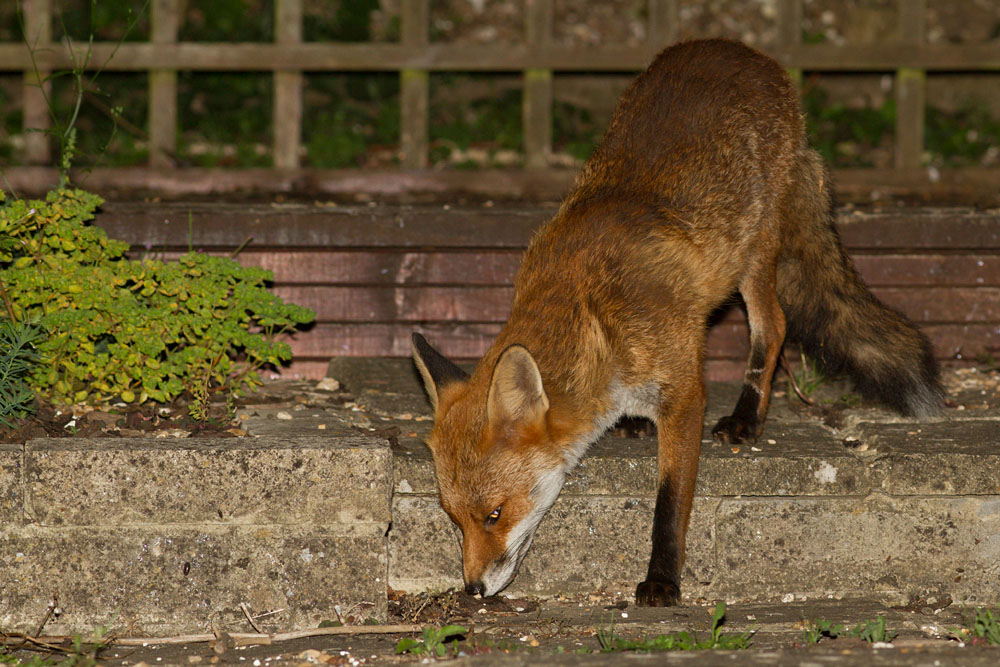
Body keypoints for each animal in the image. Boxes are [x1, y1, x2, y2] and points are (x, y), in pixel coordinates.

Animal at [411, 39, 943, 606]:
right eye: (454, 519)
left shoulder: (684, 394)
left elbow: (668, 504)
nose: (471, 589)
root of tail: (738, 49)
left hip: (754, 252)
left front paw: (662, 579)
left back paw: (747, 417)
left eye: (495, 513)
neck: (594, 315)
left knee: (774, 326)